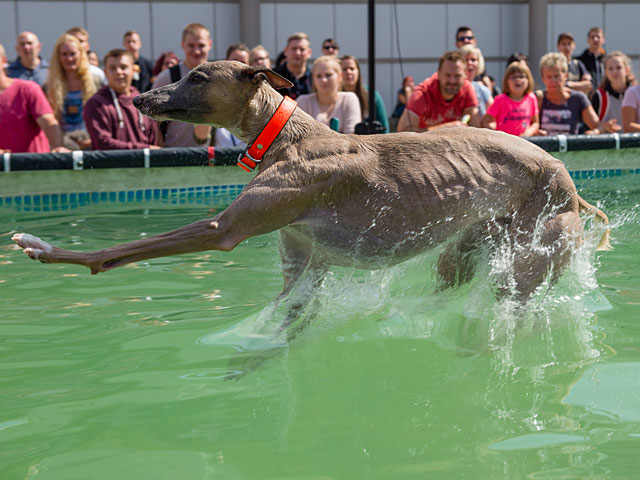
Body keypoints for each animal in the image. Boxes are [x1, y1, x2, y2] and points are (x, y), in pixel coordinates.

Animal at [11, 62, 608, 320]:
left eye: (198, 77)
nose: (140, 97)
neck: (283, 133)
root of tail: (569, 183)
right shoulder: (302, 266)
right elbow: (287, 314)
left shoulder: (226, 228)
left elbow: (120, 250)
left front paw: (45, 249)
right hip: (466, 249)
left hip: (532, 254)